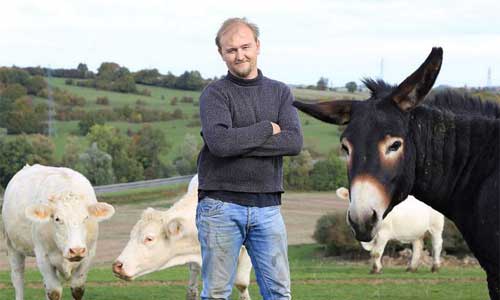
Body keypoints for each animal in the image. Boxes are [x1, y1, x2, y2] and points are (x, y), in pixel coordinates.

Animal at [1, 165, 114, 298]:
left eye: (86, 217)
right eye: (57, 219)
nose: (76, 250)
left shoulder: (88, 255)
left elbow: (77, 289)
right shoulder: (43, 256)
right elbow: (54, 291)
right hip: (12, 246)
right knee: (18, 278)